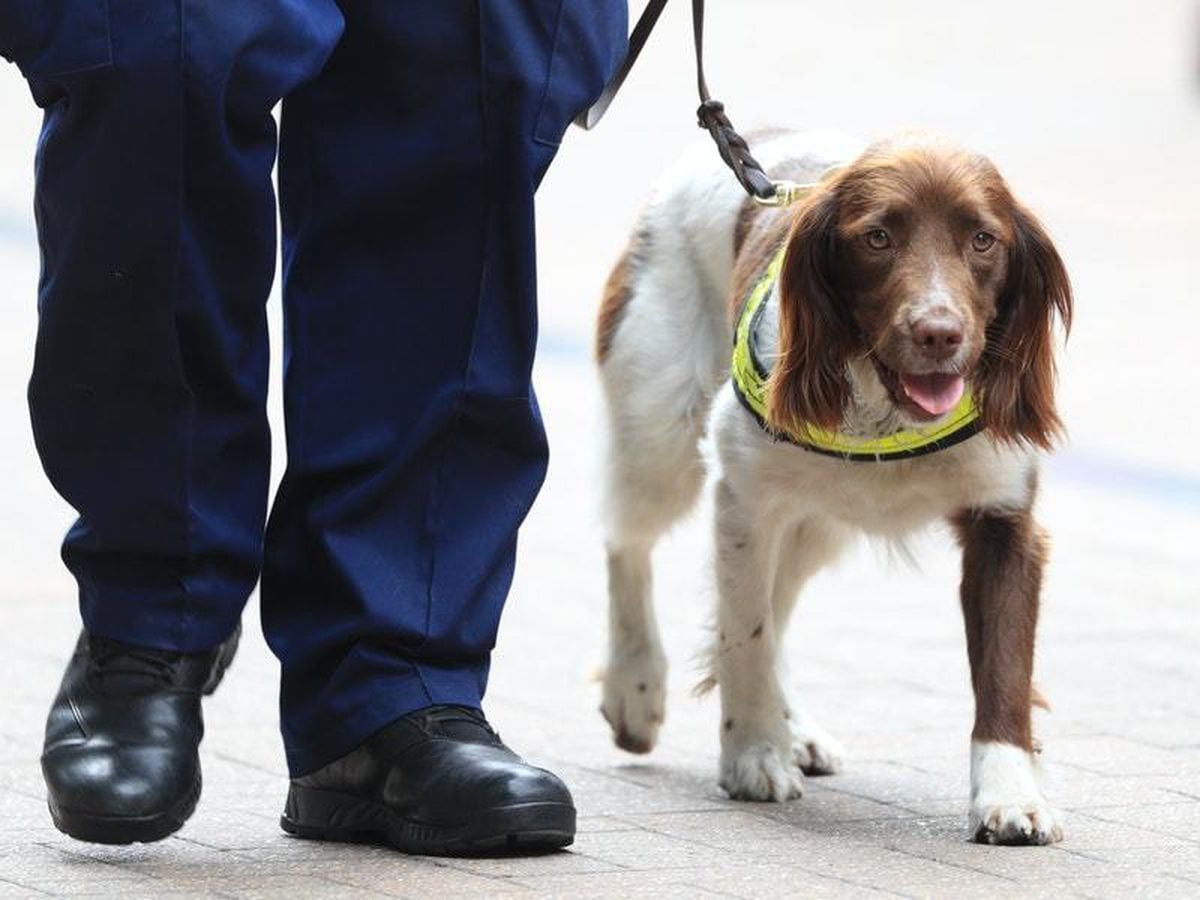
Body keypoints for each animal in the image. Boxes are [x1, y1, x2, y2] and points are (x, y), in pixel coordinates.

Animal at [595, 128, 1075, 844]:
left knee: (778, 597)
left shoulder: (1005, 523)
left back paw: (793, 727)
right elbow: (745, 635)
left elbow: (1006, 673)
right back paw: (636, 689)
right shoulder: (744, 500)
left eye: (983, 240)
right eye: (877, 238)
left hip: (817, 522)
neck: (886, 413)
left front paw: (1010, 797)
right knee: (627, 543)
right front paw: (752, 754)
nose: (940, 333)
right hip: (658, 429)